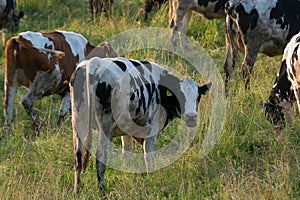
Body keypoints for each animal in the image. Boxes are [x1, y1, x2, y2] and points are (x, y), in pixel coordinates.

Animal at [70, 56, 211, 194]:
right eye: (180, 95)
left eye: (198, 97)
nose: (191, 117)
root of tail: (93, 62)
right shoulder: (152, 127)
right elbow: (148, 154)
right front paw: (151, 177)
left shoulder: (126, 129)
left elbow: (127, 152)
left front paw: (126, 173)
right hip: (106, 124)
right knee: (101, 155)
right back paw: (102, 191)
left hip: (78, 122)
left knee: (78, 155)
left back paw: (77, 190)